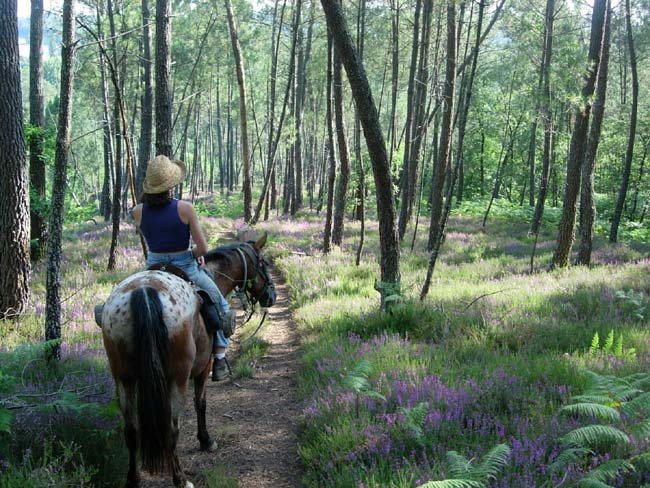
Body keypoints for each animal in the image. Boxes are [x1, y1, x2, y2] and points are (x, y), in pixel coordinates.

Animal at [95, 234, 274, 486]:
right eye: (263, 263)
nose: (271, 296)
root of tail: (144, 292)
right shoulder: (202, 369)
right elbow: (201, 403)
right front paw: (206, 440)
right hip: (176, 379)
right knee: (171, 428)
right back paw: (180, 478)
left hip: (124, 378)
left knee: (131, 430)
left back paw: (133, 479)